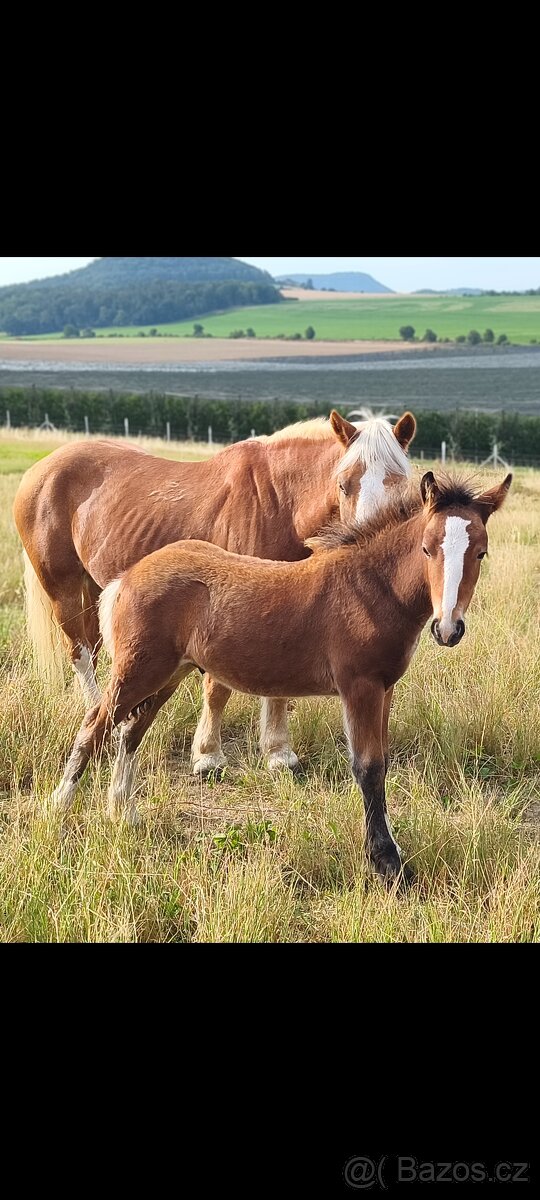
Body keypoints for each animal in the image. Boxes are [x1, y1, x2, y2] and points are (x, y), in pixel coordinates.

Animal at [13, 410, 416, 777]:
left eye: (402, 488)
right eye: (344, 484)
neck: (279, 504)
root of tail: (43, 468)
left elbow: (278, 684)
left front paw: (278, 754)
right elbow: (217, 688)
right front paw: (208, 756)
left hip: (97, 588)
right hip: (63, 588)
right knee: (80, 654)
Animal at [50, 470, 511, 886]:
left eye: (481, 553)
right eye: (427, 548)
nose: (447, 628)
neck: (369, 588)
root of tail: (125, 578)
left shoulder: (386, 689)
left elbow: (380, 765)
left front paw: (389, 853)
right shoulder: (359, 686)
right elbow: (368, 768)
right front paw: (388, 865)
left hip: (167, 674)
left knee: (130, 732)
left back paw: (123, 813)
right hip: (138, 670)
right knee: (95, 724)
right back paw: (59, 807)